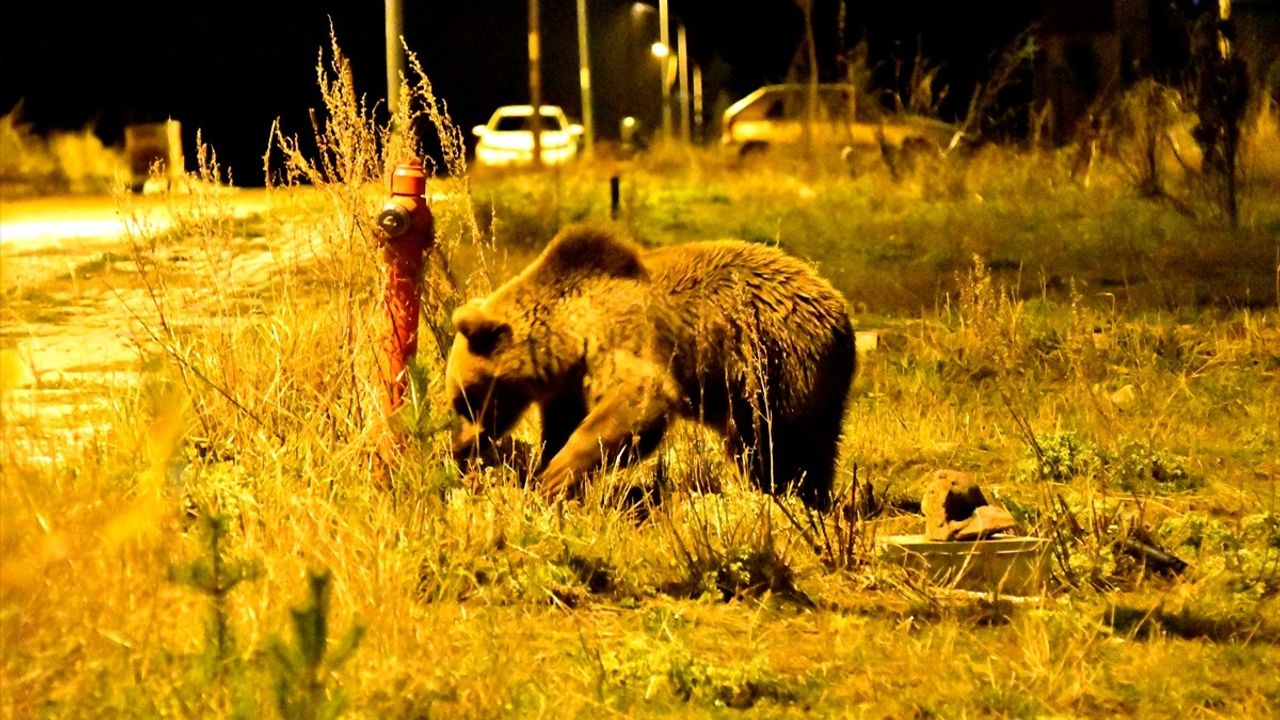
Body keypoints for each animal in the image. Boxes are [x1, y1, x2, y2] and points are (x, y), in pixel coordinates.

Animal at [445, 224, 855, 509]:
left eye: (467, 398)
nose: (460, 449)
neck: (569, 336)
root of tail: (839, 304)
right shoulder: (569, 384)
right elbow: (562, 425)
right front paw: (542, 472)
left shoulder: (620, 340)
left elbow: (636, 405)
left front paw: (554, 478)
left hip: (781, 364)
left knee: (789, 441)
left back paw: (798, 496)